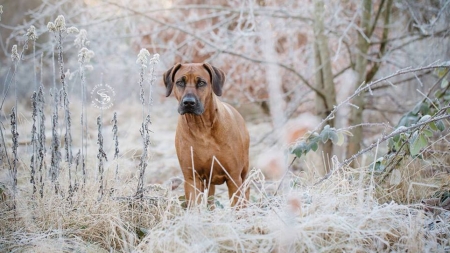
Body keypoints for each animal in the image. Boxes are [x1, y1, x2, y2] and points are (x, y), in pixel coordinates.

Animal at [164, 63, 251, 208]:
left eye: (201, 82)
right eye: (180, 82)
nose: (188, 102)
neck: (201, 127)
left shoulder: (233, 178)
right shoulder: (192, 178)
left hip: (243, 173)